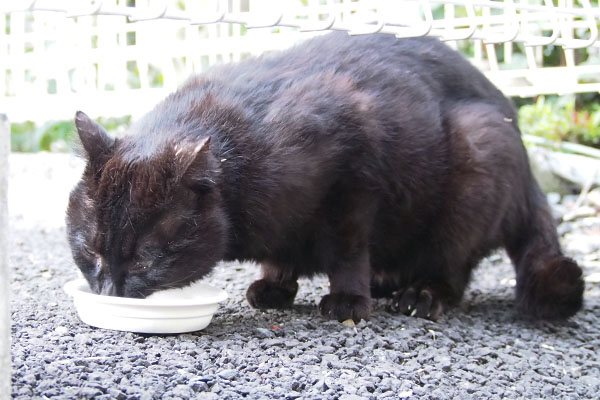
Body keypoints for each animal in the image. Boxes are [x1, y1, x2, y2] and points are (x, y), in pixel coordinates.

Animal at [65, 32, 580, 324]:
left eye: (146, 258)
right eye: (90, 251)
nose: (109, 291)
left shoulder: (354, 177)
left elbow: (347, 248)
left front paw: (348, 299)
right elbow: (280, 253)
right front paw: (275, 286)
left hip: (480, 151)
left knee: (453, 266)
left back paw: (421, 294)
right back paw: (387, 280)